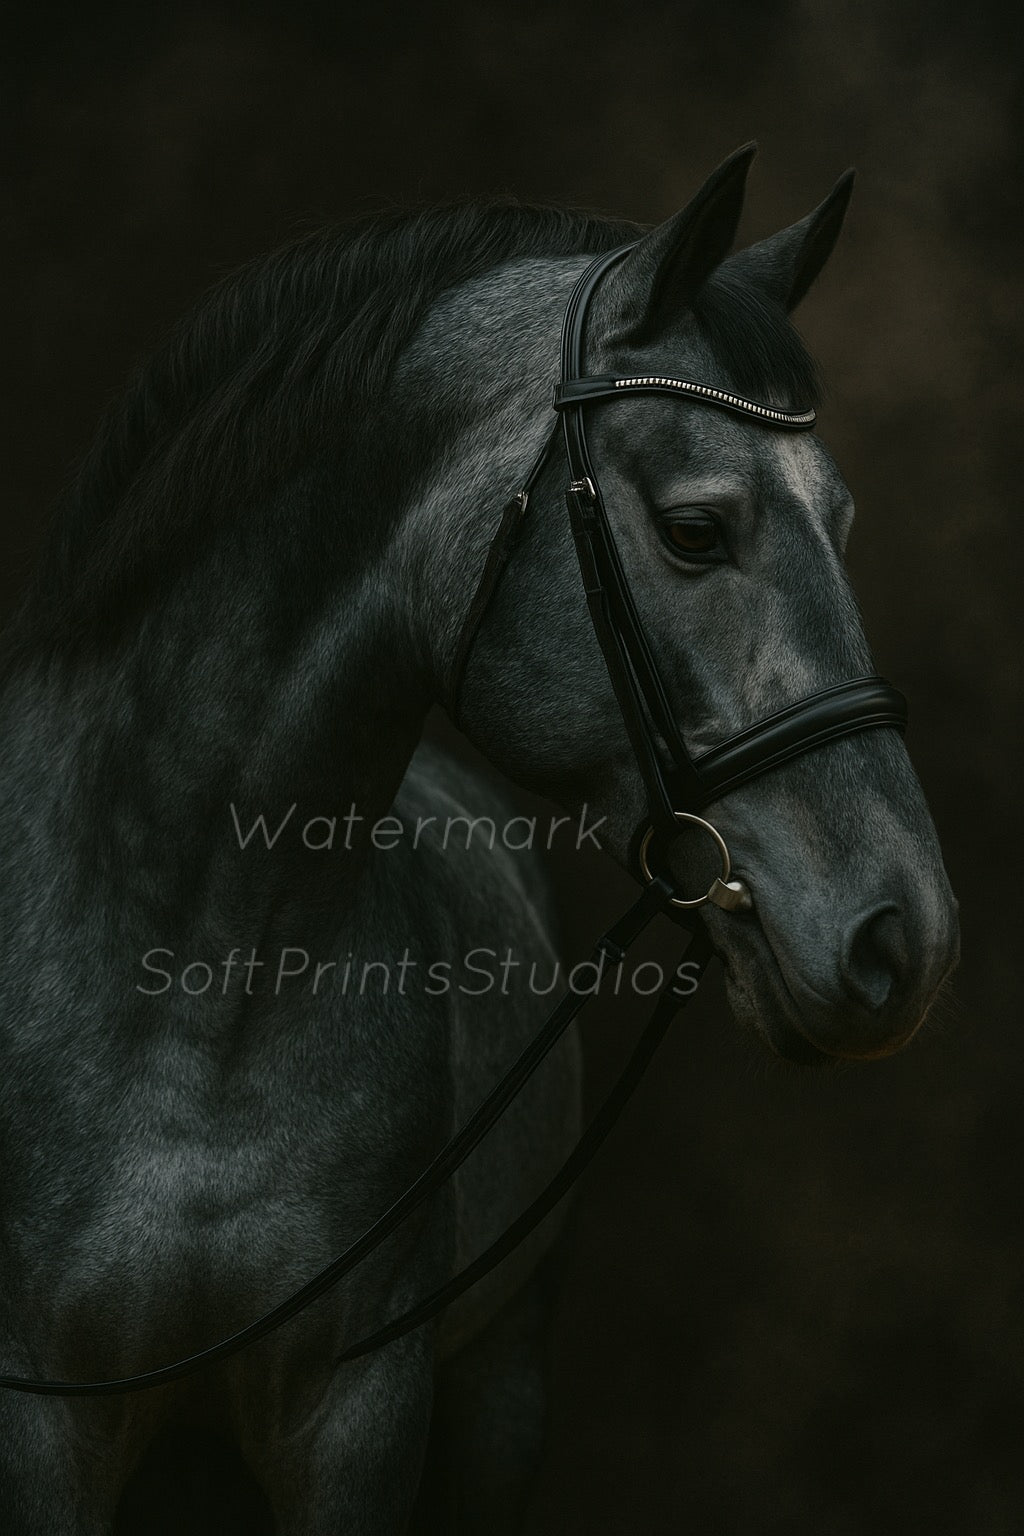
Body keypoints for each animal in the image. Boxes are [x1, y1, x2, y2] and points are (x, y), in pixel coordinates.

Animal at [0, 148, 959, 1532]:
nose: (906, 937)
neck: (187, 980)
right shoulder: (43, 1426)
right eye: (695, 531)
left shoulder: (359, 1415)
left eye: (839, 523)